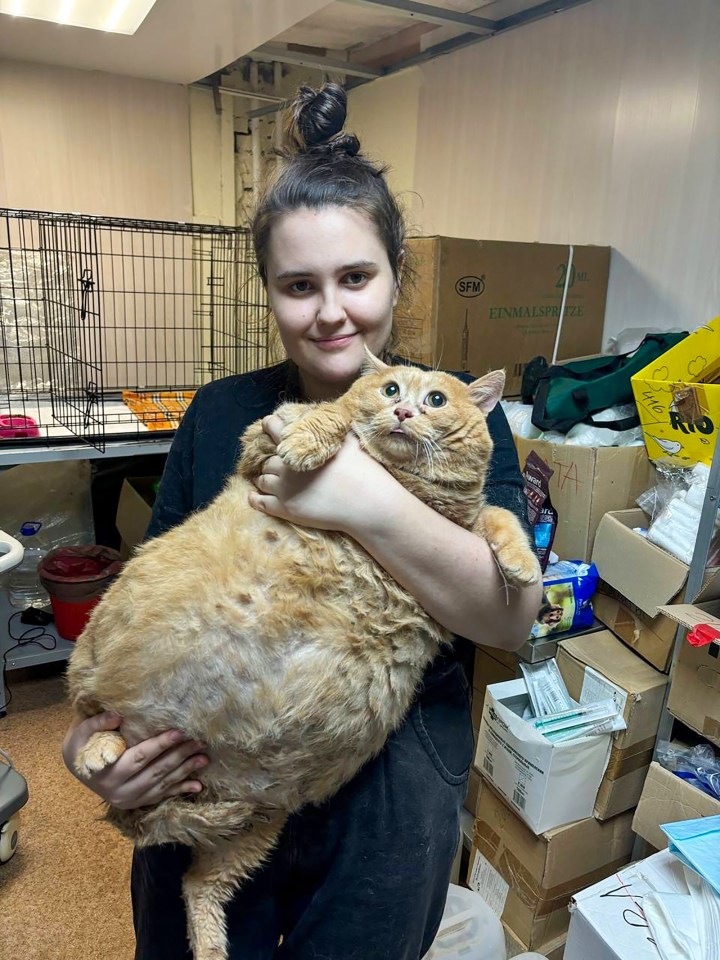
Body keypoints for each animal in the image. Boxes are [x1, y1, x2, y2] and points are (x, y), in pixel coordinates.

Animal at [66, 352, 540, 960]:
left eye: (435, 399)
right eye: (390, 389)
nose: (403, 411)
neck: (404, 485)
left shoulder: (464, 524)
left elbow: (503, 520)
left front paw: (524, 566)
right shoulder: (259, 444)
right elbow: (325, 415)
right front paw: (312, 442)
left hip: (253, 833)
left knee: (197, 885)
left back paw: (213, 948)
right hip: (94, 675)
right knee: (94, 716)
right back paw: (101, 752)